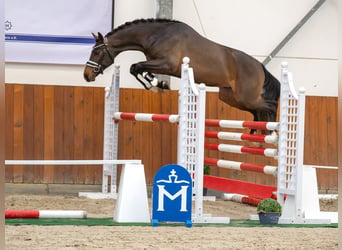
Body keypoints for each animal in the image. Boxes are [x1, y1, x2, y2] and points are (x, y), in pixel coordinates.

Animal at [83, 18, 280, 134]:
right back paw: (257, 133)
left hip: (245, 96)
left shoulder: (167, 64)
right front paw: (156, 85)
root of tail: (260, 66)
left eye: (97, 53)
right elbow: (137, 68)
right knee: (257, 111)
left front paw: (156, 85)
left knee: (269, 105)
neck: (156, 35)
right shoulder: (158, 63)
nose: (86, 75)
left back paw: (272, 131)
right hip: (230, 96)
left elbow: (136, 67)